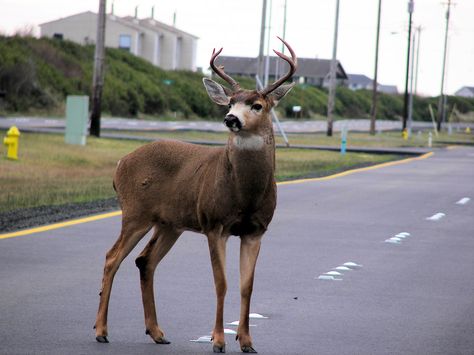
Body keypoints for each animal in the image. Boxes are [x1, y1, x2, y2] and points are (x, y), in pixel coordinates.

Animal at [93, 36, 296, 354]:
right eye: (230, 101)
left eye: (258, 105)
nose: (230, 118)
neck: (246, 196)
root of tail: (119, 163)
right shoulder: (215, 224)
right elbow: (221, 283)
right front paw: (218, 340)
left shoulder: (256, 230)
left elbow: (247, 286)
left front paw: (247, 342)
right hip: (135, 212)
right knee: (112, 257)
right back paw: (101, 331)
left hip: (169, 223)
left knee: (144, 260)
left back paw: (157, 332)